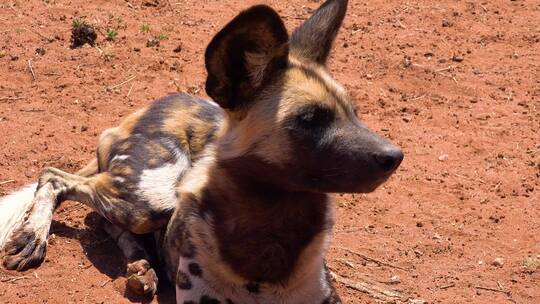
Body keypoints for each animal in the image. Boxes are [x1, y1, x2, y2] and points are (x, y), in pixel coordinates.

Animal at [0, 1, 400, 302]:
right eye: (309, 119)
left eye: (354, 113)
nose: (394, 156)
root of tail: (145, 109)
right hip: (150, 198)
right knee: (56, 178)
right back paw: (34, 237)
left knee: (101, 217)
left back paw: (141, 268)